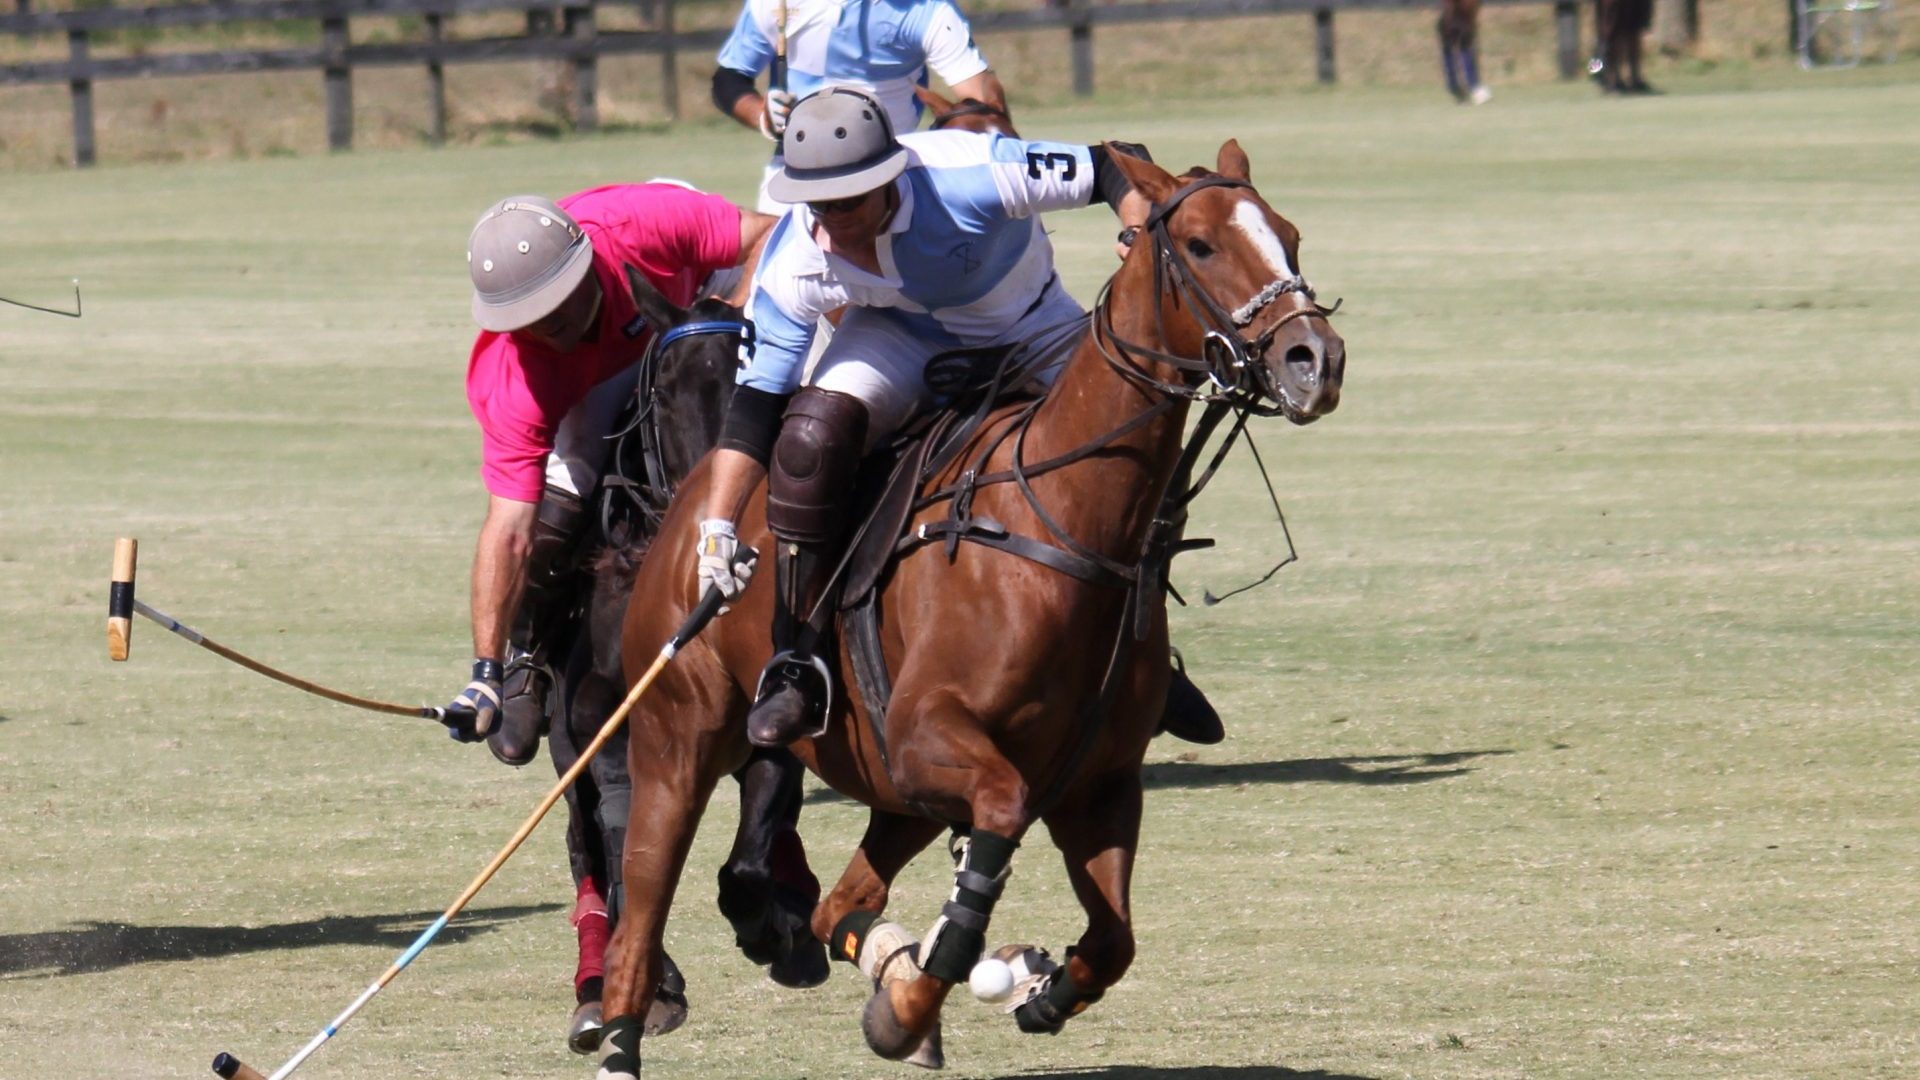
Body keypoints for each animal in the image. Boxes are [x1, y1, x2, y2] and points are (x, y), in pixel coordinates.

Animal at [591, 141, 1344, 1068]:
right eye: (1200, 246)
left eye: (1290, 235)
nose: (1315, 359)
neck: (1064, 525)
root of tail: (699, 494)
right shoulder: (934, 741)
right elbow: (988, 854)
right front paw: (923, 998)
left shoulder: (1099, 785)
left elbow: (1112, 941)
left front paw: (1021, 993)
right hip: (678, 739)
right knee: (643, 905)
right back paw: (624, 1038)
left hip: (889, 788)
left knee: (840, 903)